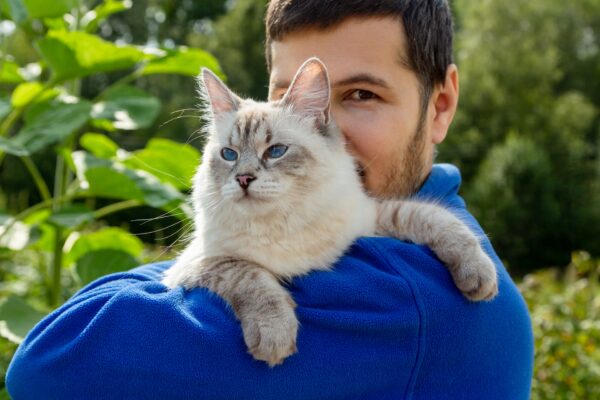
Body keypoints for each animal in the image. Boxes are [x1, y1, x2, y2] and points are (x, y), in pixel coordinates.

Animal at [161, 57, 496, 368]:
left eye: (276, 151)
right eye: (229, 155)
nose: (243, 179)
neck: (282, 222)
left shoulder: (370, 219)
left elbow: (433, 219)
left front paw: (480, 277)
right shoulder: (198, 264)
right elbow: (250, 274)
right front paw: (274, 336)